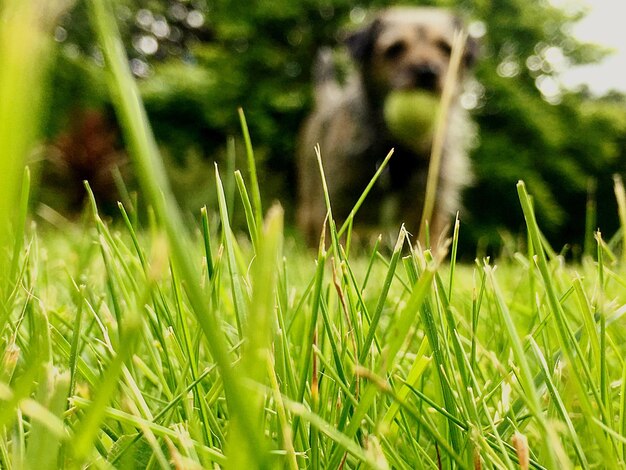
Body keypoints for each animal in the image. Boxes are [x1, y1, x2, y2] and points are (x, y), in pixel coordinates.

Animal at [294, 7, 476, 246]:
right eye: (395, 49)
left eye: (446, 48)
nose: (427, 72)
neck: (399, 148)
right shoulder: (336, 203)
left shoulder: (430, 208)